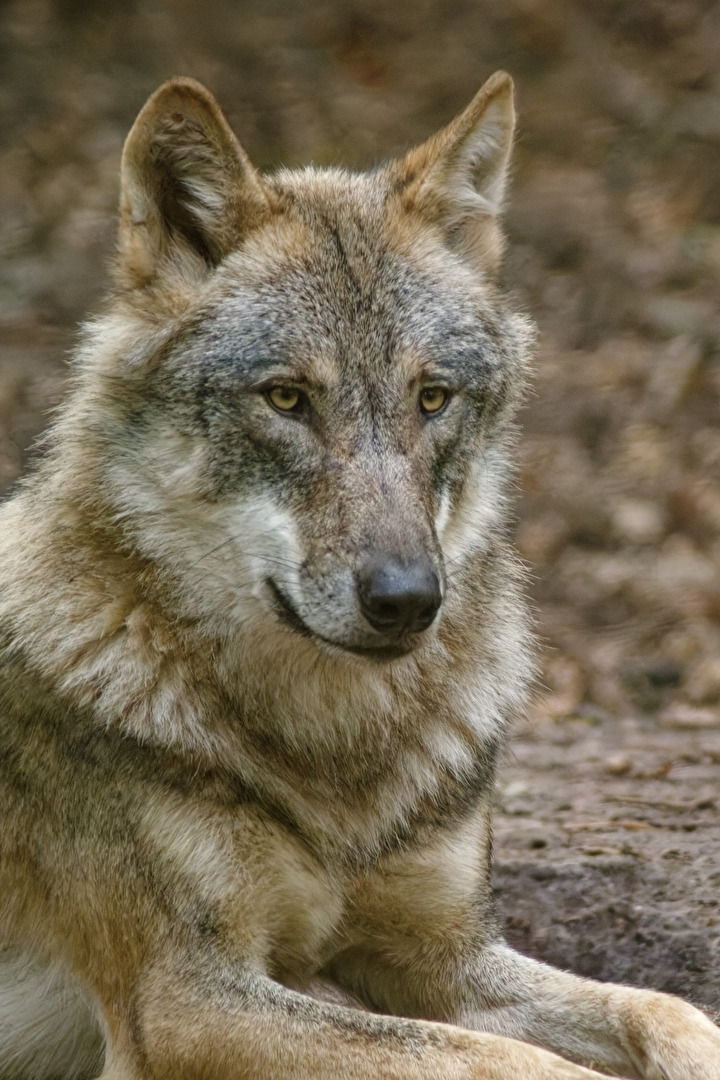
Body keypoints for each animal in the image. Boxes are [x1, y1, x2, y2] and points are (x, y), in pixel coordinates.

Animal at [0, 71, 719, 1080]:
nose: (408, 600)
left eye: (432, 398)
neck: (338, 764)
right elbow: (501, 1061)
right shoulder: (185, 1001)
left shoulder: (442, 956)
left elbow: (662, 1009)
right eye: (287, 398)